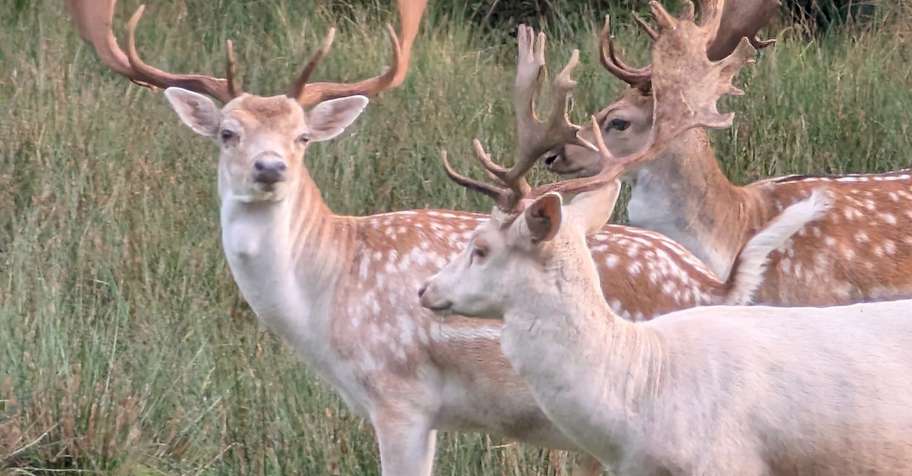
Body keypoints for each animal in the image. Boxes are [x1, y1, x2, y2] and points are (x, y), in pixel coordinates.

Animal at [68, 1, 814, 474]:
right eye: (227, 131)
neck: (325, 296)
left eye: (303, 137)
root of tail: (717, 282)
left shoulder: (400, 396)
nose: (269, 168)